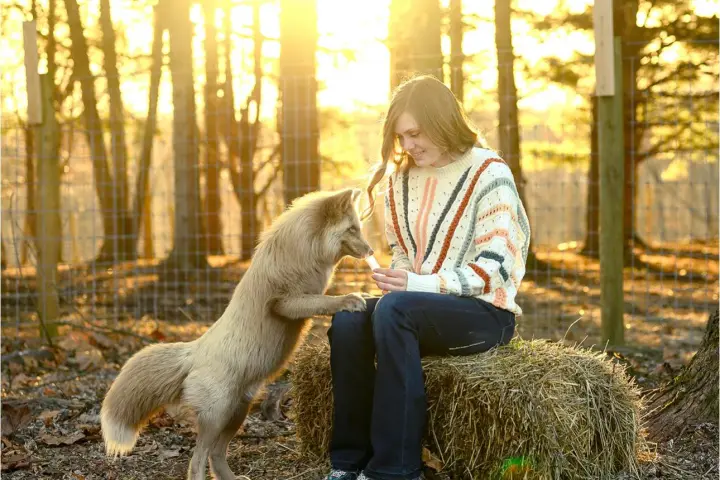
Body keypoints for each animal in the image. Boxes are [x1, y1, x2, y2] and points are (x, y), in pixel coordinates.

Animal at [100, 188, 373, 480]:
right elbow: (324, 301)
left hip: (237, 413)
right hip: (218, 414)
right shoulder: (285, 303)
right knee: (196, 462)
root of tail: (192, 353)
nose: (371, 250)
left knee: (216, 456)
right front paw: (350, 299)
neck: (303, 251)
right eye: (353, 229)